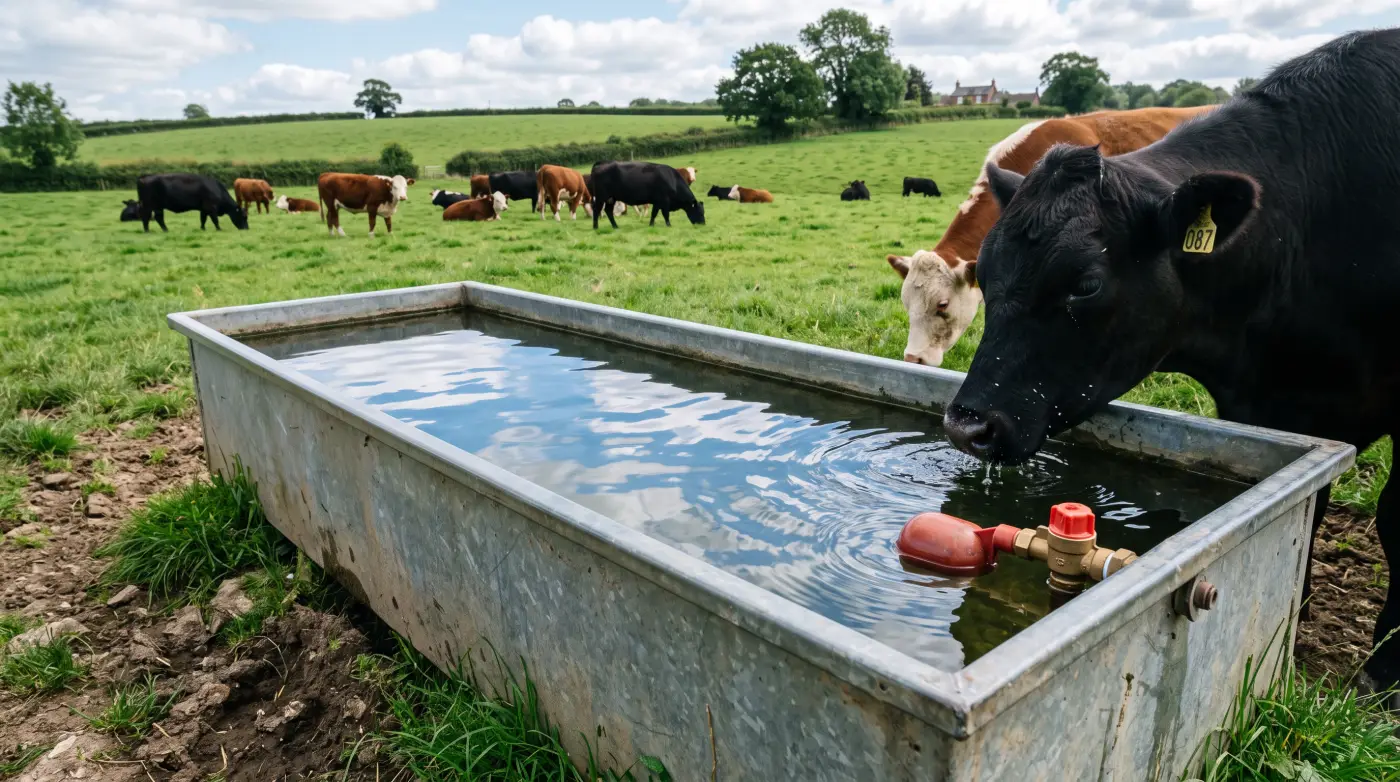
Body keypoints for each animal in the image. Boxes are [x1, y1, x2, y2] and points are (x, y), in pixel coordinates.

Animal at [940, 30, 1400, 695]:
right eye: (987, 272)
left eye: (1085, 284)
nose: (967, 425)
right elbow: (1310, 512)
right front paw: (1297, 614)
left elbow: (1393, 518)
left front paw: (1382, 667)